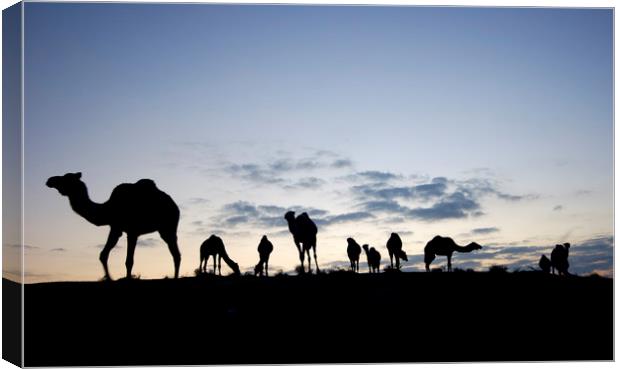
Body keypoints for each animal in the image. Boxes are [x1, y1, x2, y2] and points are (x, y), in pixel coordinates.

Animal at [46, 172, 182, 278]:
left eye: (66, 178)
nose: (49, 180)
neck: (108, 209)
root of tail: (175, 205)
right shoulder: (116, 228)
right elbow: (103, 254)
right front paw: (108, 278)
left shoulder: (131, 231)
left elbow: (128, 261)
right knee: (176, 254)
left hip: (168, 226)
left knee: (176, 254)